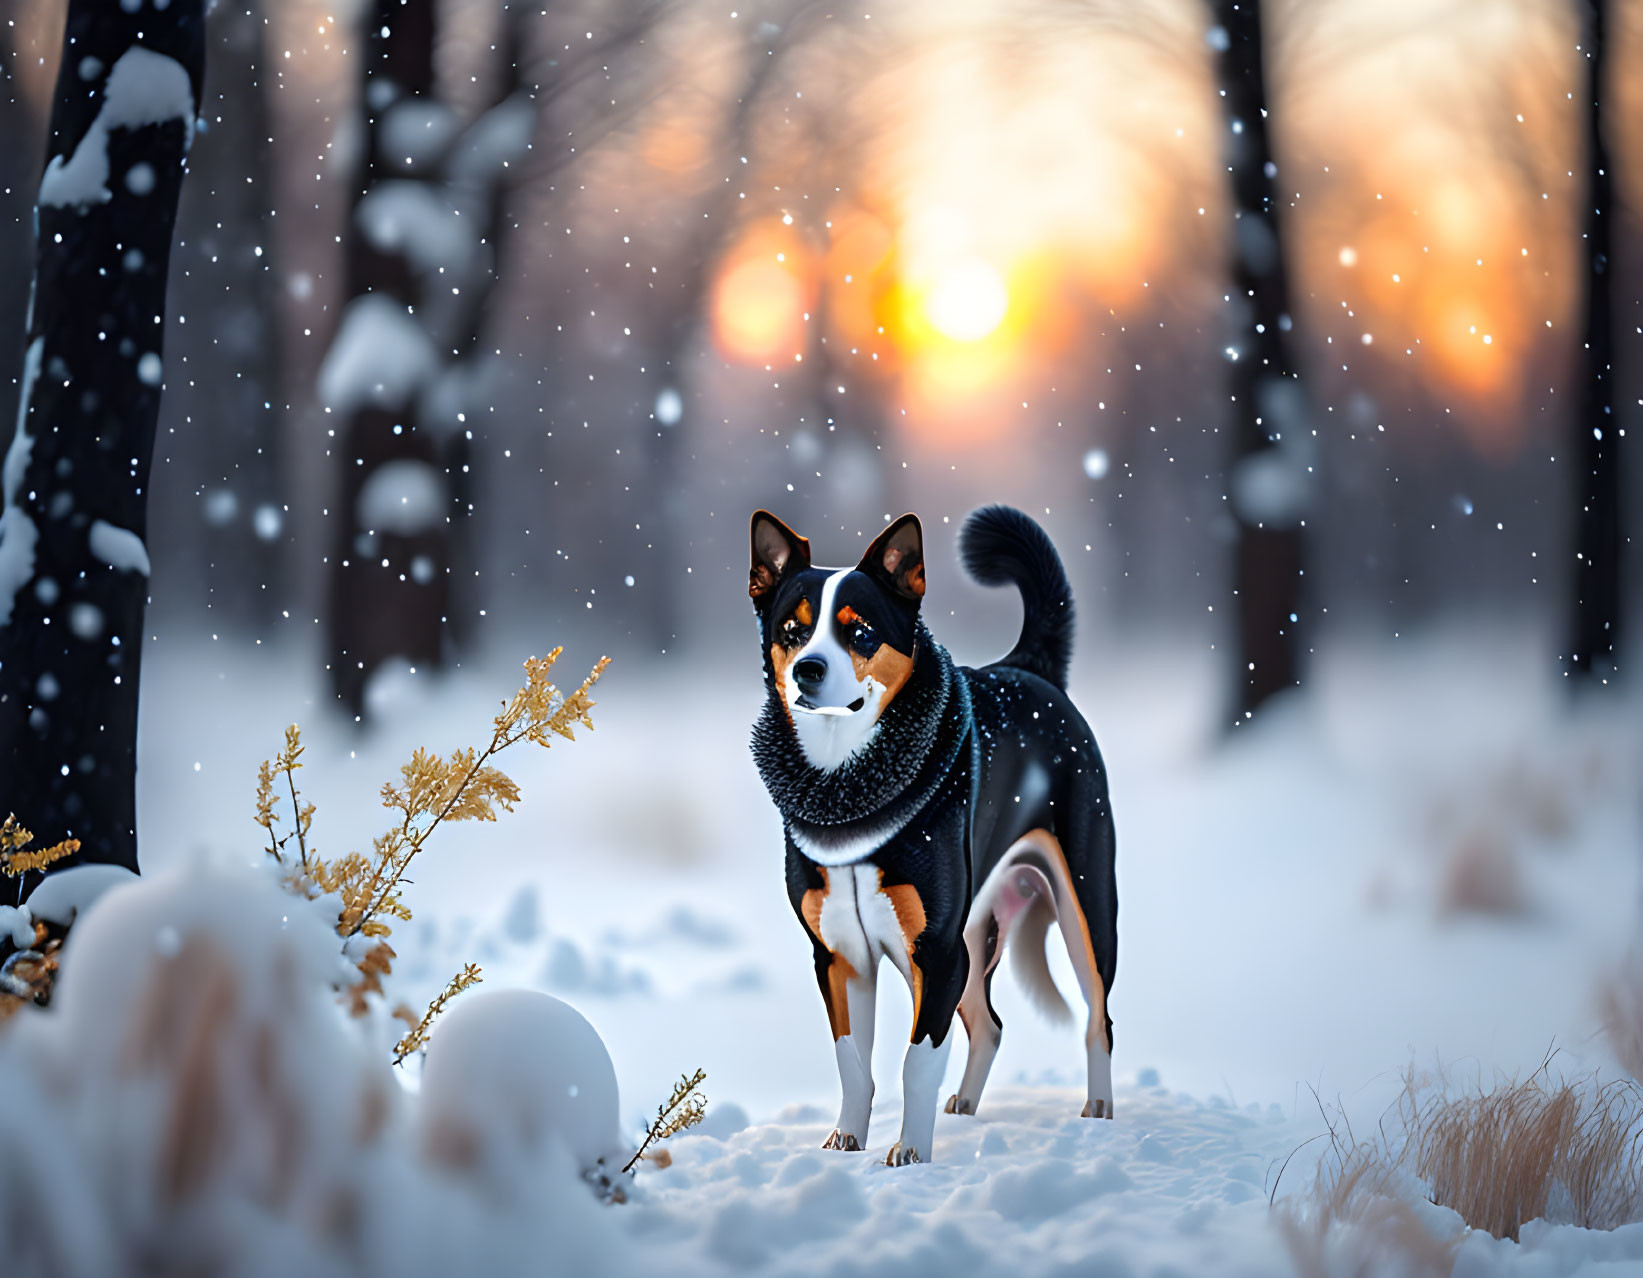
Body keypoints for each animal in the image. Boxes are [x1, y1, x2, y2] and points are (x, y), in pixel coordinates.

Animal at [752, 502, 1117, 1163]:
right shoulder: (839, 956)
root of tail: (1028, 667)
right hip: (973, 933)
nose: (808, 670)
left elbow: (917, 1062)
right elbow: (851, 1060)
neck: (845, 784)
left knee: (1098, 1015)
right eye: (792, 629)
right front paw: (847, 1139)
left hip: (1084, 904)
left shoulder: (936, 953)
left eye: (860, 632)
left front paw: (910, 1156)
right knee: (990, 1026)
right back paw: (967, 1105)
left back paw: (1098, 1109)